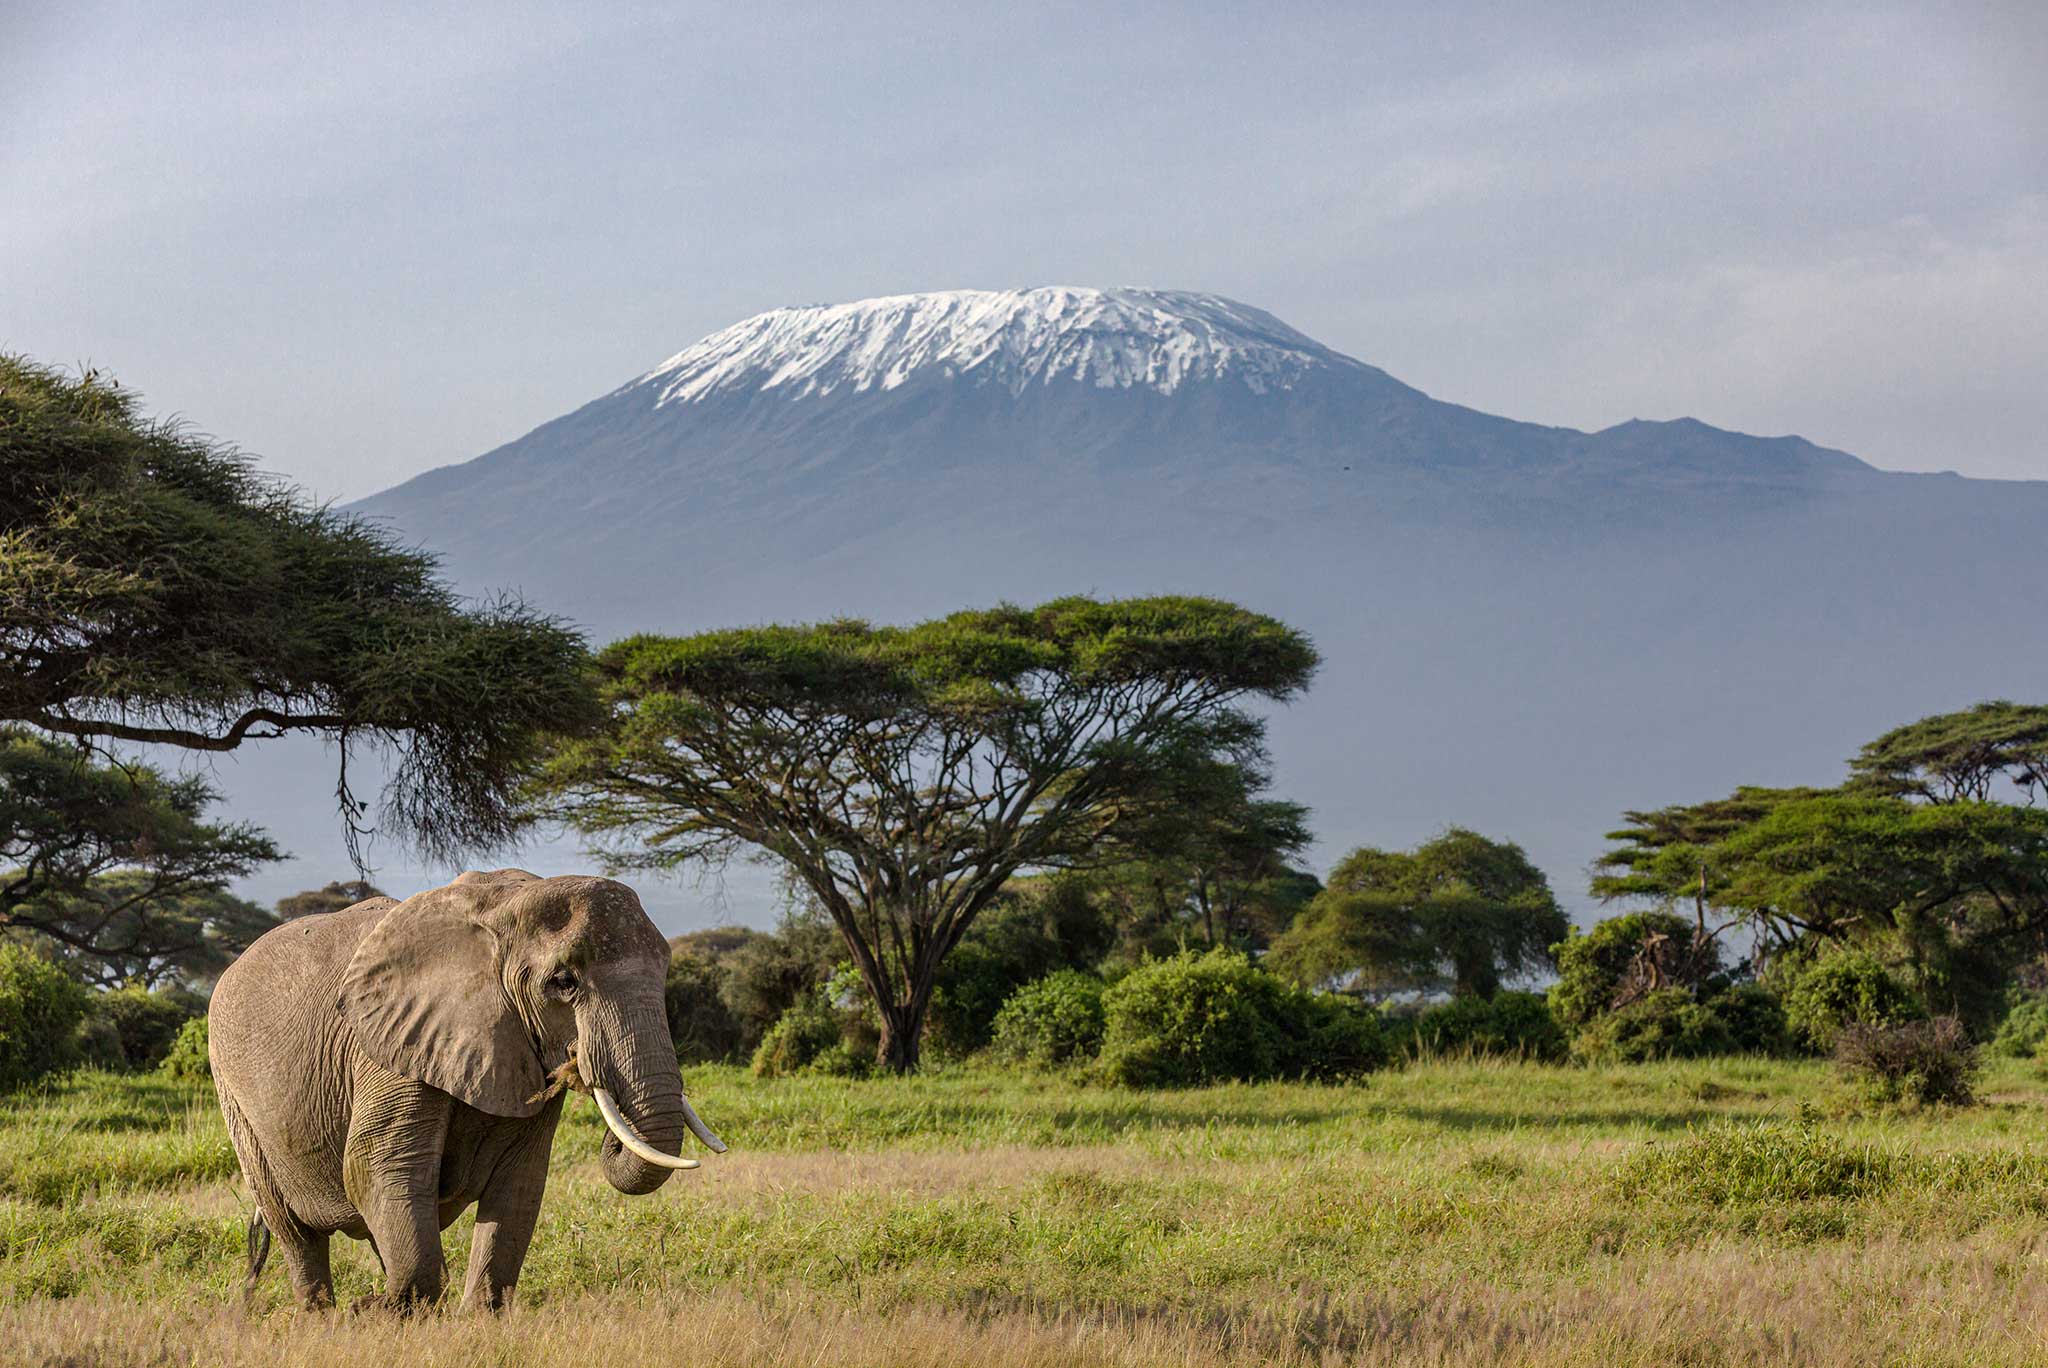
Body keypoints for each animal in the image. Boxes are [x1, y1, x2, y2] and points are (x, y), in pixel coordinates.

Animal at [211, 872, 724, 1310]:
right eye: (564, 982)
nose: (585, 1068)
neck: (501, 909)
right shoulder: (388, 1048)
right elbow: (379, 1167)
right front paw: (378, 1312)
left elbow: (521, 1181)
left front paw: (479, 1318)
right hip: (234, 1098)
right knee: (296, 1231)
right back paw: (325, 1317)